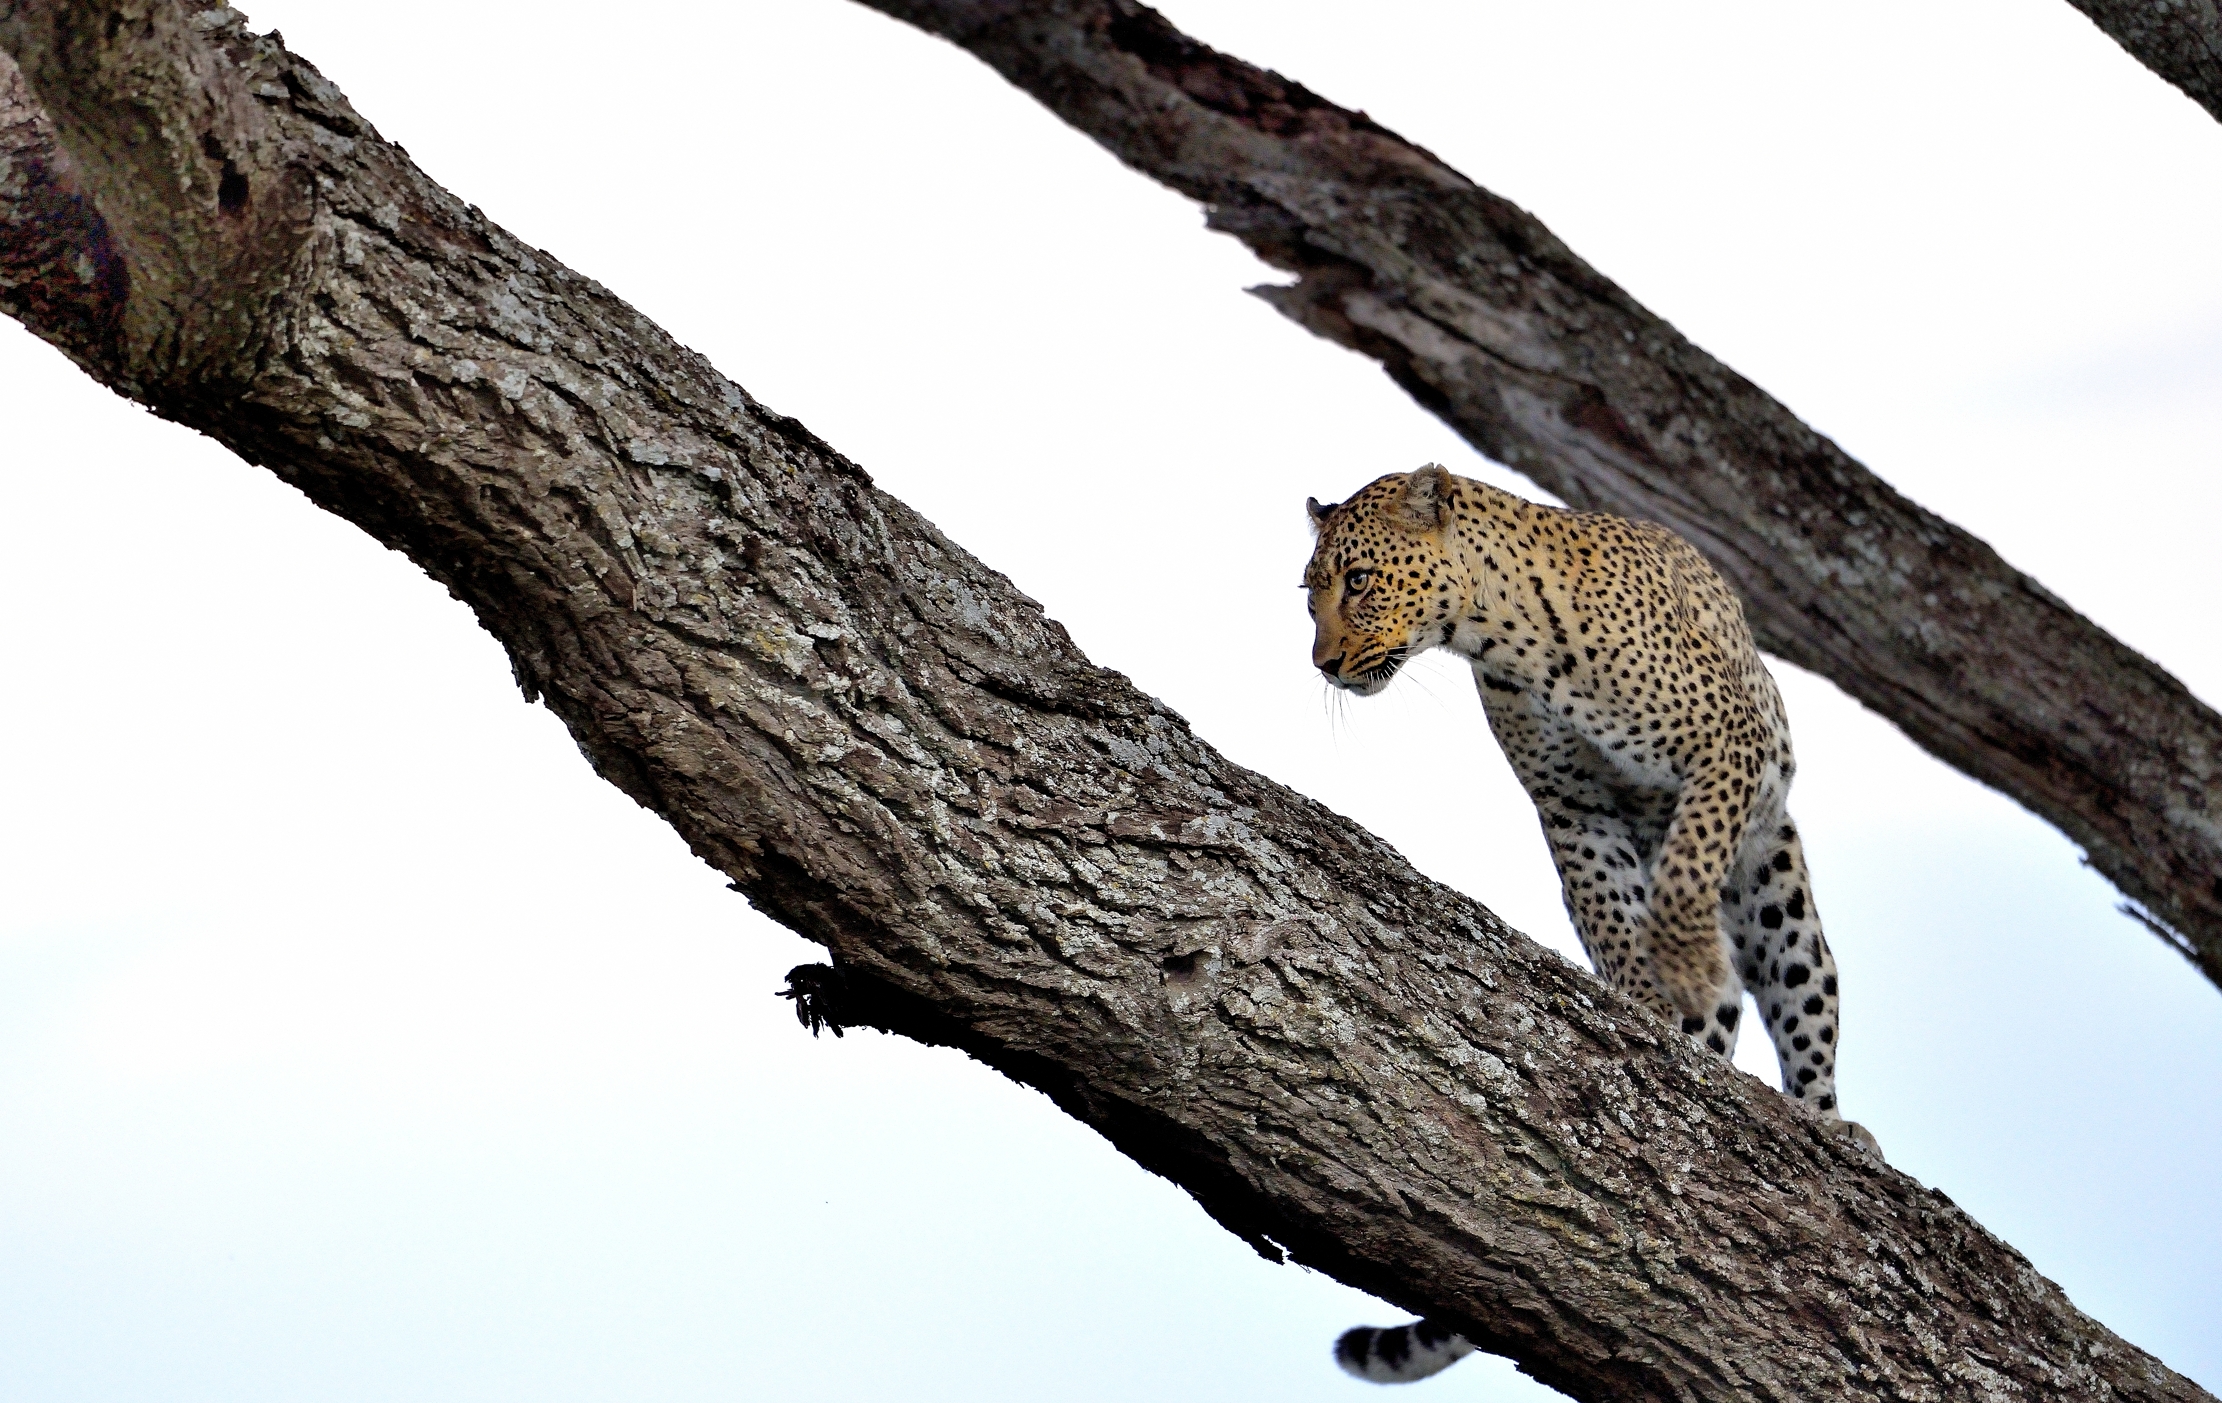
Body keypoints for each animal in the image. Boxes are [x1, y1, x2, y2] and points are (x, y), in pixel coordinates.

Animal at [1302, 465, 1876, 1385]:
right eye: (1309, 592)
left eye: (1357, 580)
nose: (1322, 662)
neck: (1498, 635)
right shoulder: (1574, 808)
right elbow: (1611, 908)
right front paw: (1645, 998)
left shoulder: (1726, 746)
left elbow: (1686, 863)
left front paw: (1685, 962)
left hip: (1780, 896)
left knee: (1805, 1004)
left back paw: (1828, 1122)